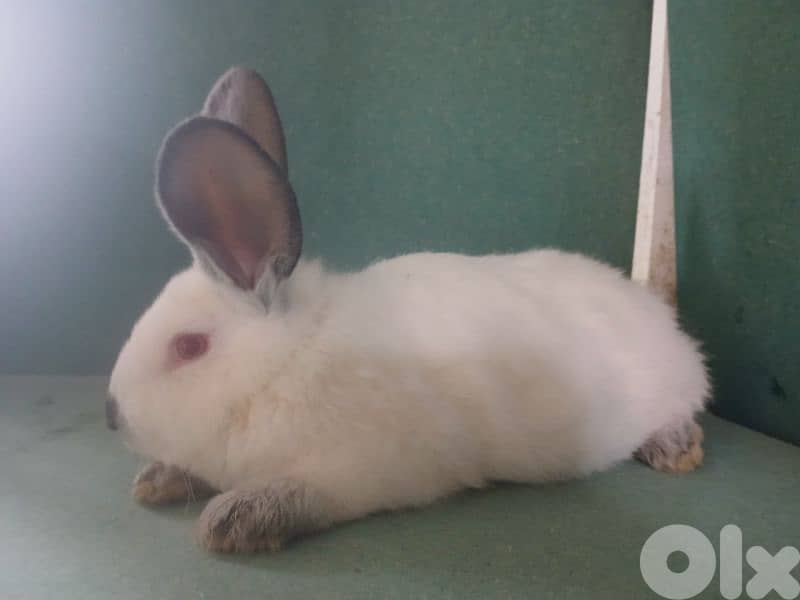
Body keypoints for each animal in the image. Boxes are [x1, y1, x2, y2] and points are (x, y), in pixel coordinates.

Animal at [107, 66, 709, 553]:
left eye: (189, 346)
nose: (112, 415)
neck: (280, 366)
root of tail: (654, 308)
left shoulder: (362, 470)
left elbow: (306, 494)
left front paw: (236, 520)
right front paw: (158, 480)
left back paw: (676, 448)